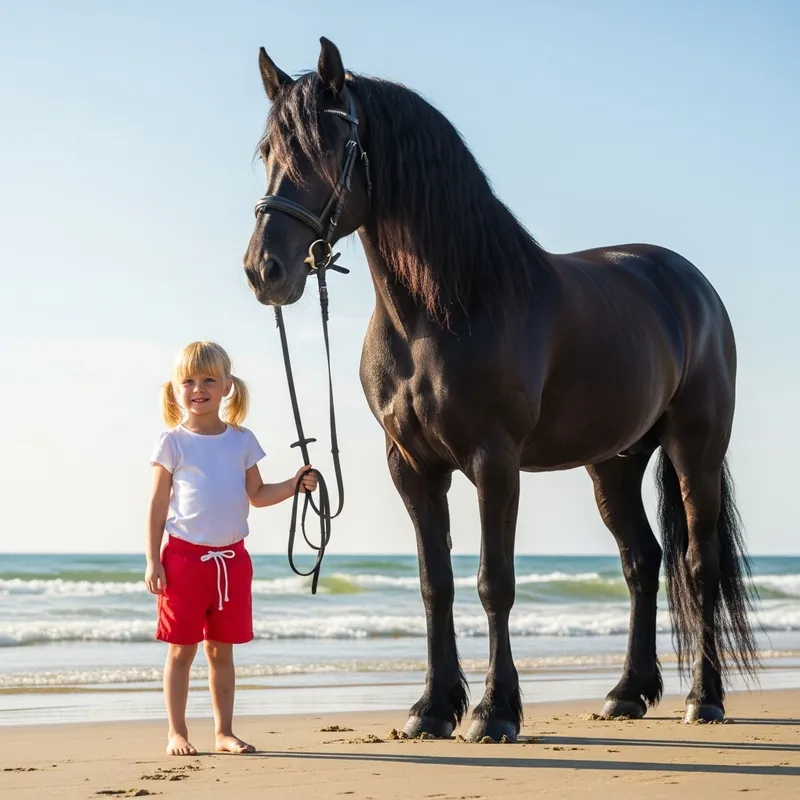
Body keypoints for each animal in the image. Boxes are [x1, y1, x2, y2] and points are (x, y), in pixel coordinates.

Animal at [243, 37, 758, 742]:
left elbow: (495, 582)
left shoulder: (495, 460)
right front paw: (432, 708)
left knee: (699, 567)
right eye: (267, 151)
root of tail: (691, 286)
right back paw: (626, 693)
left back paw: (703, 700)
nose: (263, 270)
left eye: (328, 145)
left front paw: (494, 712)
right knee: (641, 562)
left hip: (694, 450)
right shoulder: (412, 466)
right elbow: (434, 583)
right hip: (615, 462)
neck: (445, 307)